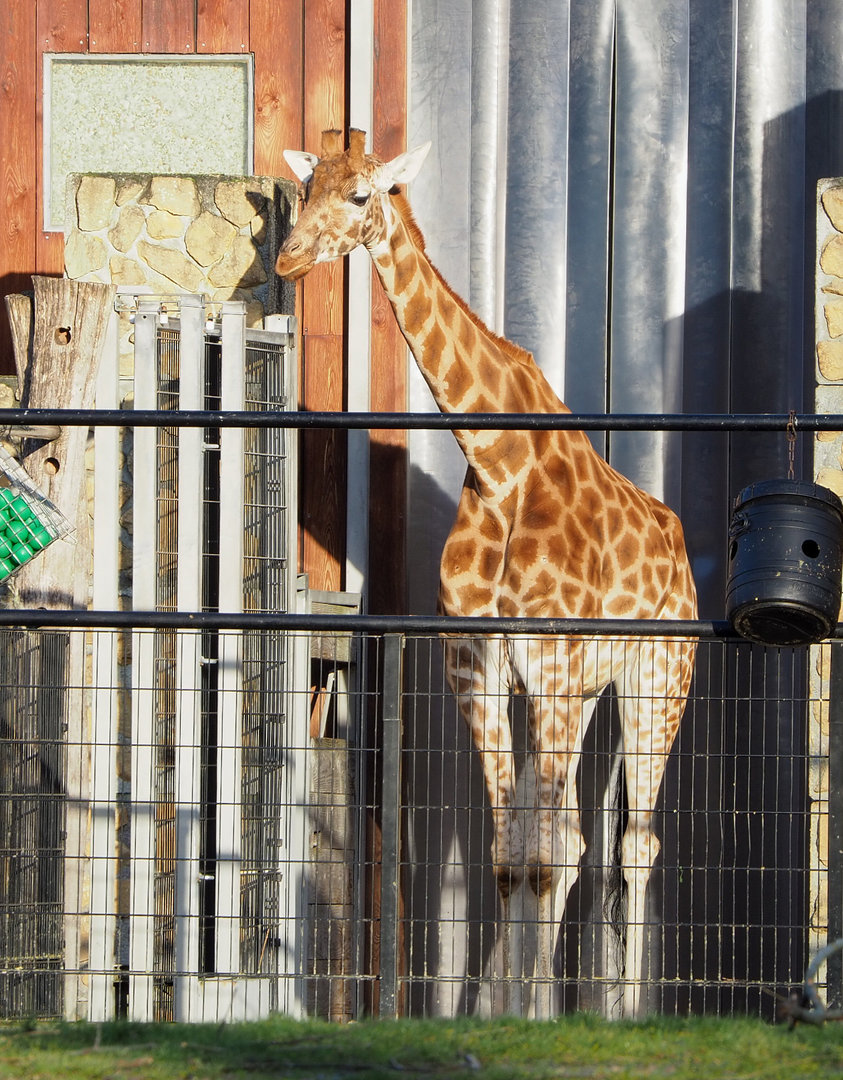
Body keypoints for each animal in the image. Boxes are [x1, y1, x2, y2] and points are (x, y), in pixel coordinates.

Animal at [275, 129, 698, 1017]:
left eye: (361, 196)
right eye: (305, 191)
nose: (291, 259)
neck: (496, 461)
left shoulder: (550, 667)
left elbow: (540, 855)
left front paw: (534, 1013)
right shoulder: (477, 665)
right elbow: (510, 854)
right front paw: (501, 1011)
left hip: (658, 680)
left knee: (633, 843)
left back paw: (623, 1010)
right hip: (594, 690)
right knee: (576, 838)